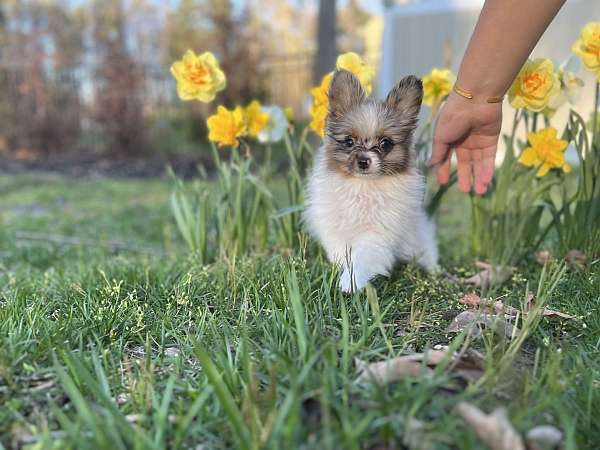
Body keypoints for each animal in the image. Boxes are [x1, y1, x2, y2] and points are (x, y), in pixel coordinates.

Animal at [308, 68, 438, 290]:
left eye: (385, 143)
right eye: (349, 142)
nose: (363, 161)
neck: (363, 186)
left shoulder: (376, 236)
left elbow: (361, 259)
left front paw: (349, 283)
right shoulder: (337, 232)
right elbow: (341, 255)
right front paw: (340, 271)